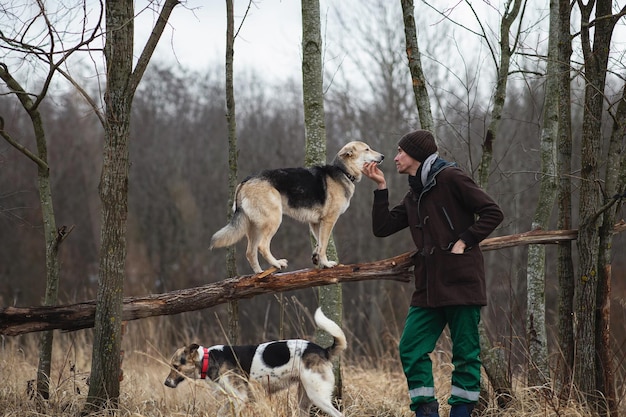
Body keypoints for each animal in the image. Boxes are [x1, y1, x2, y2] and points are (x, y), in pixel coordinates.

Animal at [163, 306, 346, 416]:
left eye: (175, 366)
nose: (166, 383)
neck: (208, 359)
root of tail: (322, 350)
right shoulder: (232, 399)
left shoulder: (240, 398)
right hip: (304, 399)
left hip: (318, 396)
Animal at [210, 141, 382, 272]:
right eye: (367, 149)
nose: (383, 156)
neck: (343, 171)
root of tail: (245, 182)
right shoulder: (328, 221)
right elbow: (324, 244)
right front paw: (326, 264)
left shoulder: (315, 223)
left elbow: (319, 243)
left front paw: (317, 259)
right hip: (273, 220)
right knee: (262, 246)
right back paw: (276, 264)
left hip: (254, 226)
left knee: (250, 252)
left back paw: (259, 275)